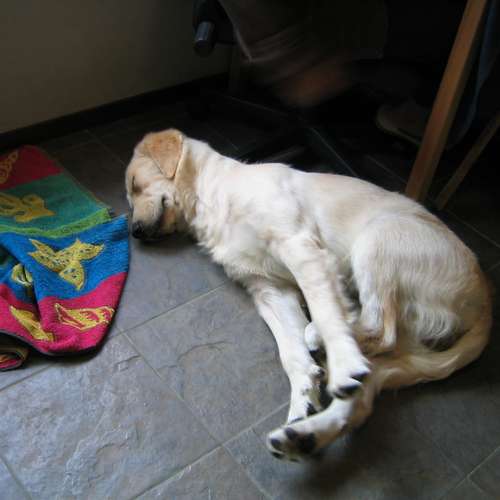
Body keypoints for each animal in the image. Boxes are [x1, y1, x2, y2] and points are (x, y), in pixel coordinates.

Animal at [125, 129, 491, 461]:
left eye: (134, 185)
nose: (135, 233)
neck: (214, 195)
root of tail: (485, 301)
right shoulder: (269, 289)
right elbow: (289, 351)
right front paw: (302, 401)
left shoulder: (299, 246)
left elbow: (326, 312)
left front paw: (342, 363)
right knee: (362, 399)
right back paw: (303, 436)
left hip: (379, 236)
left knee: (378, 327)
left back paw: (328, 347)